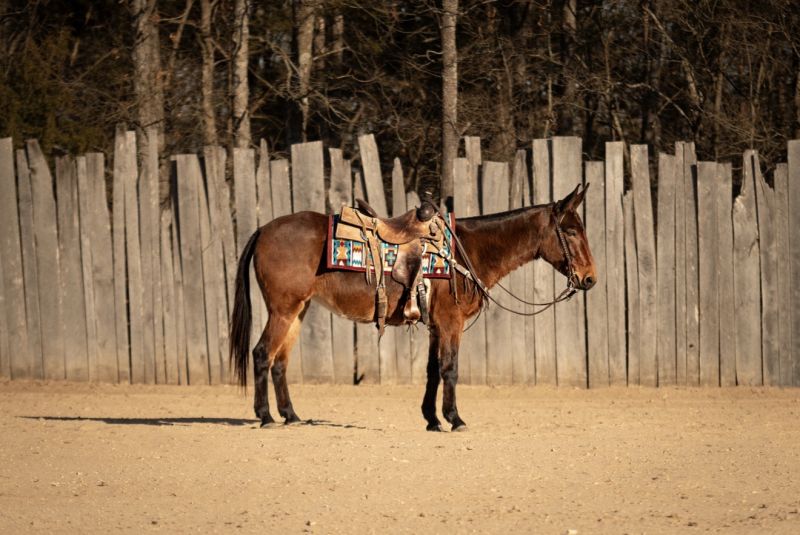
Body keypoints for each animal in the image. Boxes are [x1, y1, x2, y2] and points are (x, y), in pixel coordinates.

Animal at [229, 183, 596, 431]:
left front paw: (432, 419)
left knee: (279, 362)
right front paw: (454, 418)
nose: (589, 278)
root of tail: (263, 229)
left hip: (298, 310)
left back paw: (290, 415)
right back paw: (265, 416)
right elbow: (450, 368)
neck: (467, 251)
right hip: (283, 310)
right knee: (262, 354)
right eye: (571, 230)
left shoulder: (435, 325)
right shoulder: (450, 322)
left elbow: (432, 370)